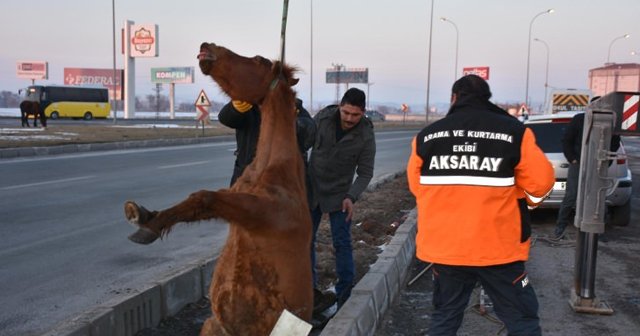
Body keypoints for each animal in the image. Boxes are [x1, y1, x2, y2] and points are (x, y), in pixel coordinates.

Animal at [123, 43, 312, 334]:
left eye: (258, 60)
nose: (207, 47)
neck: (271, 169)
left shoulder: (260, 213)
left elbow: (205, 198)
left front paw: (145, 221)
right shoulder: (234, 199)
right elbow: (196, 203)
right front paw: (144, 218)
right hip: (212, 325)